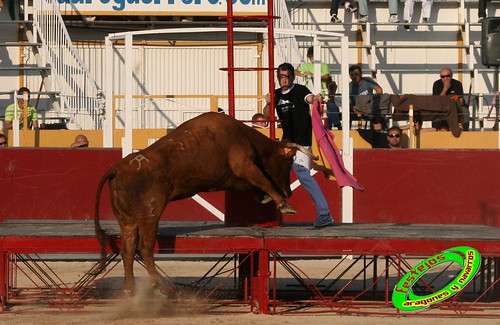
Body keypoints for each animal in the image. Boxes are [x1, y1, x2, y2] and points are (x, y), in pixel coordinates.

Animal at [94, 111, 316, 294]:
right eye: (289, 161)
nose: (288, 192)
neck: (244, 135)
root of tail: (118, 168)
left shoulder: (236, 176)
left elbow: (257, 183)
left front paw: (266, 197)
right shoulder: (243, 164)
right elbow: (262, 179)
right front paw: (283, 204)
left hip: (127, 221)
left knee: (128, 249)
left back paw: (129, 289)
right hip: (150, 215)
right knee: (145, 249)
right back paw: (161, 286)